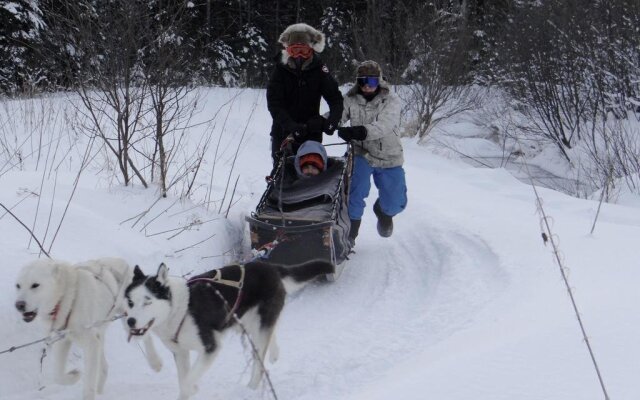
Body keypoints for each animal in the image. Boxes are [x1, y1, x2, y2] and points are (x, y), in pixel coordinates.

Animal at [14, 258, 161, 398]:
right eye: (18, 286)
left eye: (35, 285)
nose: (19, 305)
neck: (69, 299)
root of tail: (124, 262)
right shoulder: (64, 341)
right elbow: (58, 375)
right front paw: (74, 375)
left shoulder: (91, 343)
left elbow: (89, 383)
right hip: (100, 334)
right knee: (104, 368)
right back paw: (100, 391)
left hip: (128, 320)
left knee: (146, 335)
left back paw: (155, 362)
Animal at [125, 260, 336, 398]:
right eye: (130, 302)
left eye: (147, 301)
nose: (130, 321)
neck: (181, 309)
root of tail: (269, 266)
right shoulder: (181, 352)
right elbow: (183, 380)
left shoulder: (211, 347)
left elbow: (186, 382)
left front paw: (193, 388)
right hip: (247, 323)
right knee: (271, 333)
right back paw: (275, 353)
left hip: (257, 330)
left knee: (259, 363)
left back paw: (250, 389)